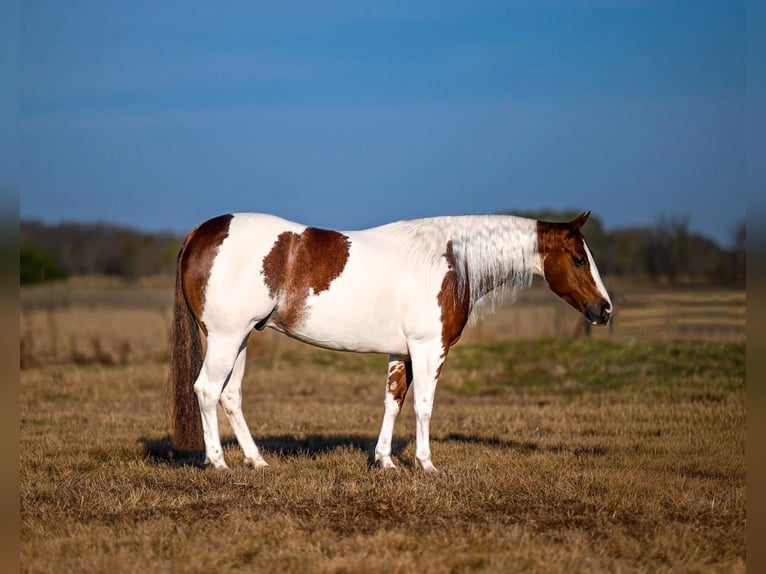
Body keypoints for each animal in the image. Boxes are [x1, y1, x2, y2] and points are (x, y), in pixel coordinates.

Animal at [169, 211, 612, 472]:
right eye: (579, 259)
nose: (605, 310)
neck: (449, 260)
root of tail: (200, 231)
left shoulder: (402, 353)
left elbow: (393, 402)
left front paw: (384, 461)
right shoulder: (428, 348)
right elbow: (423, 407)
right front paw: (426, 465)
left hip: (241, 338)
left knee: (230, 396)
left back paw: (257, 461)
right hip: (226, 338)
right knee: (206, 390)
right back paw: (218, 462)